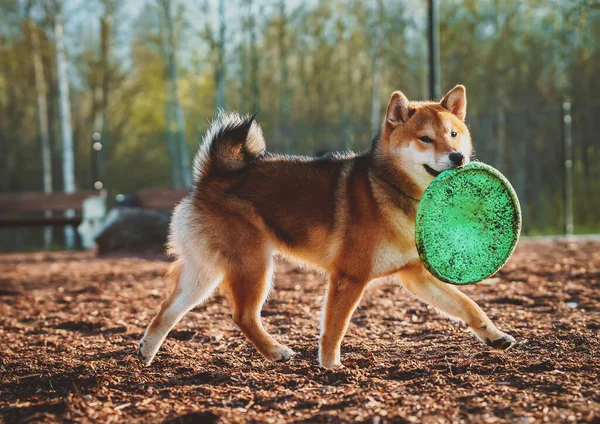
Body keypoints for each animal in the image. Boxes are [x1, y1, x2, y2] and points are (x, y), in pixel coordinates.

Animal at [137, 85, 516, 368]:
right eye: (425, 138)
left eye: (453, 134)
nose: (458, 157)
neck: (388, 188)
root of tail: (210, 177)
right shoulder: (349, 277)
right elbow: (335, 328)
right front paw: (332, 367)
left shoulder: (415, 276)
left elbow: (467, 305)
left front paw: (494, 335)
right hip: (254, 265)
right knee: (242, 316)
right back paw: (276, 351)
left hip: (206, 273)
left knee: (167, 310)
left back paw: (146, 353)